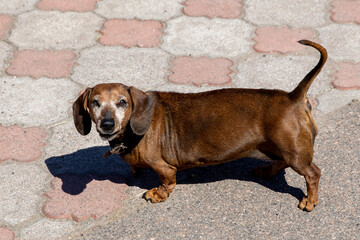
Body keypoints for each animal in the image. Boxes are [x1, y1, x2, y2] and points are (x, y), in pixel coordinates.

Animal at [72, 39, 326, 212]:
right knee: (282, 162)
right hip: (278, 147)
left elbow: (167, 182)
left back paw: (310, 201)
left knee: (313, 173)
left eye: (122, 102)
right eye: (95, 103)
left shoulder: (165, 168)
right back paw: (266, 170)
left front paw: (157, 194)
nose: (107, 124)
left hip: (294, 152)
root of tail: (293, 96)